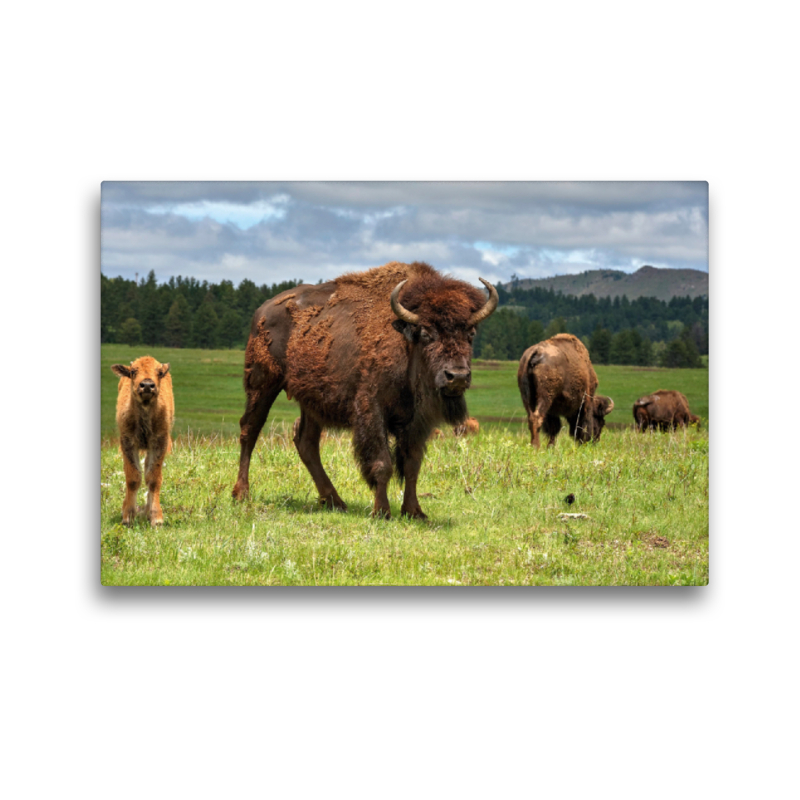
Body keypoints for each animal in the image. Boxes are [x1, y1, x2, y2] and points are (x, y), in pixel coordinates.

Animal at [111, 356, 173, 524]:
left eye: (159, 373)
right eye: (133, 371)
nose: (146, 385)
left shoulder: (159, 443)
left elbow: (153, 478)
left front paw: (156, 518)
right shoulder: (127, 442)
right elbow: (133, 478)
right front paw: (128, 517)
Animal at [228, 260, 496, 520]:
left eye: (470, 333)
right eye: (427, 333)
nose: (457, 376)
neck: (406, 342)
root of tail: (262, 310)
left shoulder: (417, 421)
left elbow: (412, 464)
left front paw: (415, 512)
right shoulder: (371, 409)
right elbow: (382, 462)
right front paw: (382, 512)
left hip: (311, 400)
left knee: (306, 442)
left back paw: (335, 502)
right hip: (262, 383)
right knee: (250, 430)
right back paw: (241, 494)